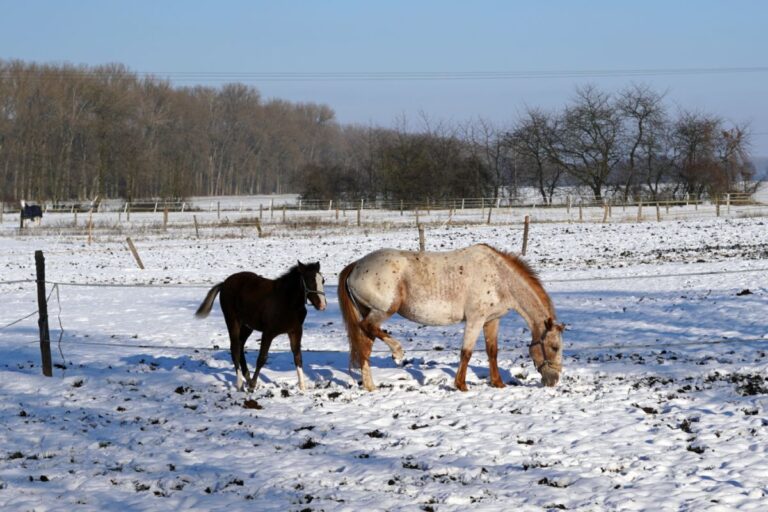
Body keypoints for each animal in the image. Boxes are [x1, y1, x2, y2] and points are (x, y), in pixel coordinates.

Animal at [336, 244, 564, 392]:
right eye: (554, 347)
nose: (554, 380)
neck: (500, 278)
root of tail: (356, 265)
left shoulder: (491, 321)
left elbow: (492, 352)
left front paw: (498, 383)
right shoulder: (475, 320)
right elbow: (466, 353)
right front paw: (461, 385)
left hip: (370, 311)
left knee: (365, 345)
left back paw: (370, 386)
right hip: (383, 310)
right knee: (367, 327)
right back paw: (397, 351)